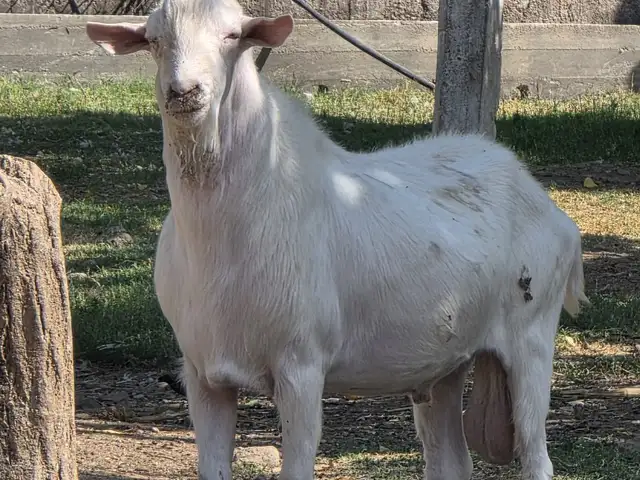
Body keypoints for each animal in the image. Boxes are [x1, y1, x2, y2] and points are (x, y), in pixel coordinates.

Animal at [86, 1, 589, 479]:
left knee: (536, 458)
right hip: (444, 364)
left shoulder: (301, 366)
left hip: (532, 336)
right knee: (451, 461)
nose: (184, 92)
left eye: (232, 36)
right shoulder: (202, 373)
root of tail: (549, 207)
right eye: (154, 40)